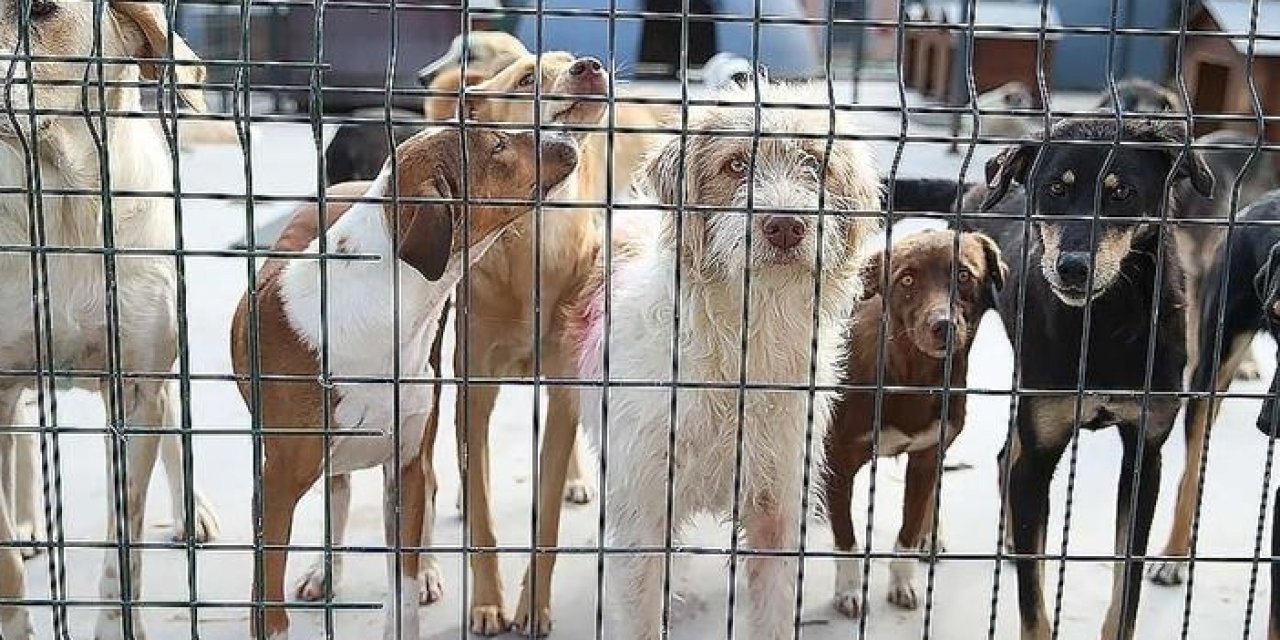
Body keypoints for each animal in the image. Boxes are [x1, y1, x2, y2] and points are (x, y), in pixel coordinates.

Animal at [0, 3, 225, 634]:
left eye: (40, 10)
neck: (61, 207)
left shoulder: (135, 389)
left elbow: (123, 543)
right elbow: (4, 565)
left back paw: (191, 513)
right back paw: (26, 524)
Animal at [230, 126, 581, 640]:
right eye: (497, 146)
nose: (567, 133)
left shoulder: (406, 460)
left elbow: (404, 586)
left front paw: (419, 582)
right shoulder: (274, 487)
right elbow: (269, 602)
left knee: (427, 489)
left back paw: (430, 568)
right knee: (338, 492)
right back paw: (326, 570)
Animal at [578, 81, 885, 640]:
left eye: (816, 163)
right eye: (737, 165)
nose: (784, 226)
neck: (745, 342)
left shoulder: (777, 512)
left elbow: (773, 612)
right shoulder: (644, 511)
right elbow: (639, 609)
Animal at [824, 230, 1003, 619]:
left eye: (964, 275)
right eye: (906, 280)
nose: (943, 325)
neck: (912, 377)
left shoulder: (926, 456)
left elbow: (908, 527)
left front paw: (902, 581)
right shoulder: (839, 463)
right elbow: (846, 538)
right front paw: (848, 590)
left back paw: (931, 536)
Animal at [962, 117, 1213, 637]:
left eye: (1122, 193)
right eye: (1055, 189)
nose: (1073, 269)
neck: (1105, 321)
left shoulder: (1145, 458)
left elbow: (1127, 583)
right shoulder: (1041, 456)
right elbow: (1033, 603)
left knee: (1006, 456)